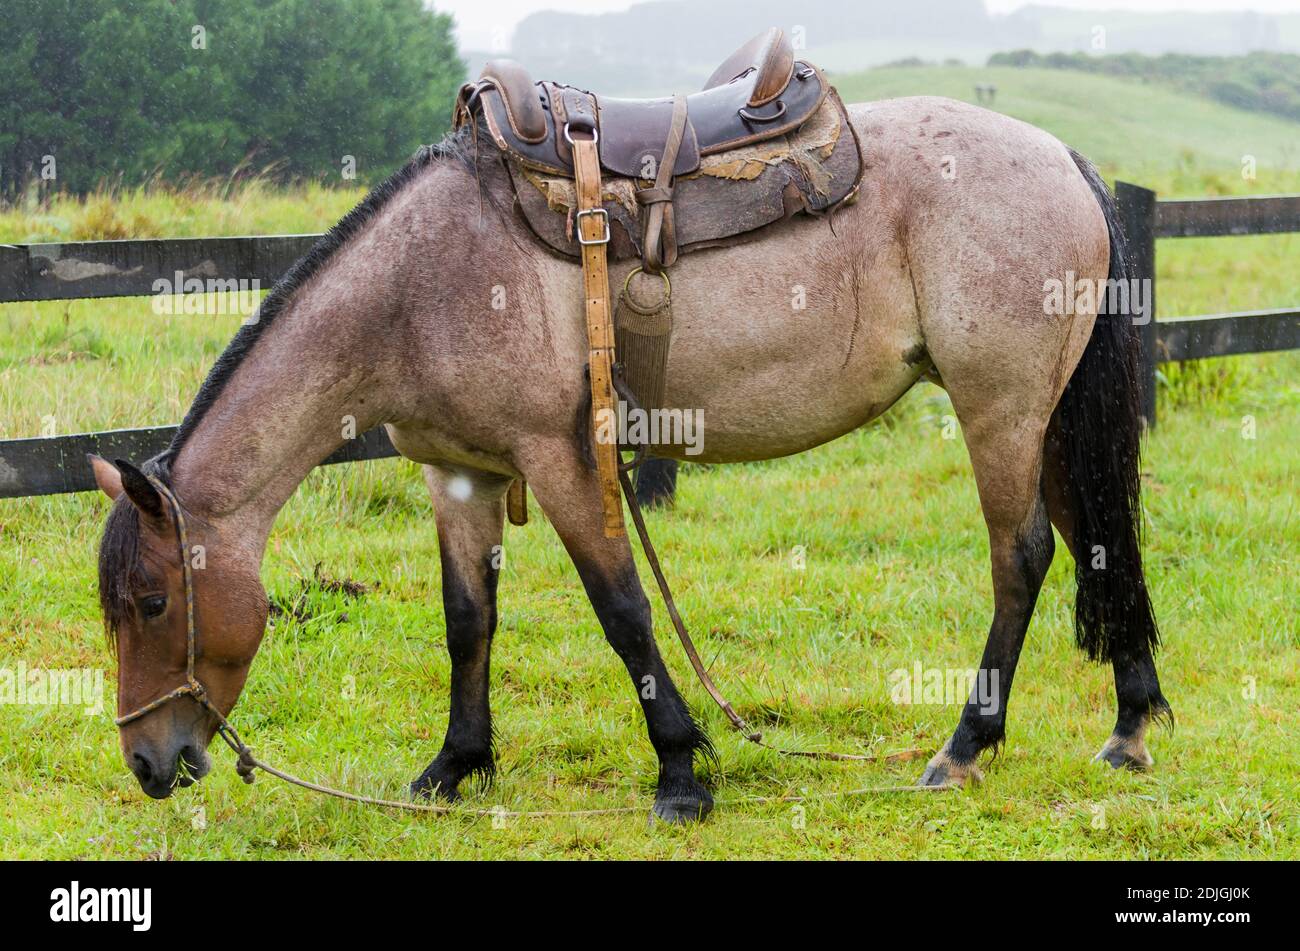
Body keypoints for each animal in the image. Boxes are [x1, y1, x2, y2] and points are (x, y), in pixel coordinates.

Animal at [92, 95, 1170, 822]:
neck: (420, 285)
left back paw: (963, 745)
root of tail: (1064, 159)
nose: (148, 762)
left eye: (152, 601)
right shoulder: (461, 475)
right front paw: (453, 768)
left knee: (1021, 557)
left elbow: (622, 611)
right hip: (1045, 416)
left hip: (1000, 409)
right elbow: (467, 621)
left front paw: (682, 770)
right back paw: (1128, 726)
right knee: (1097, 540)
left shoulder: (563, 463)